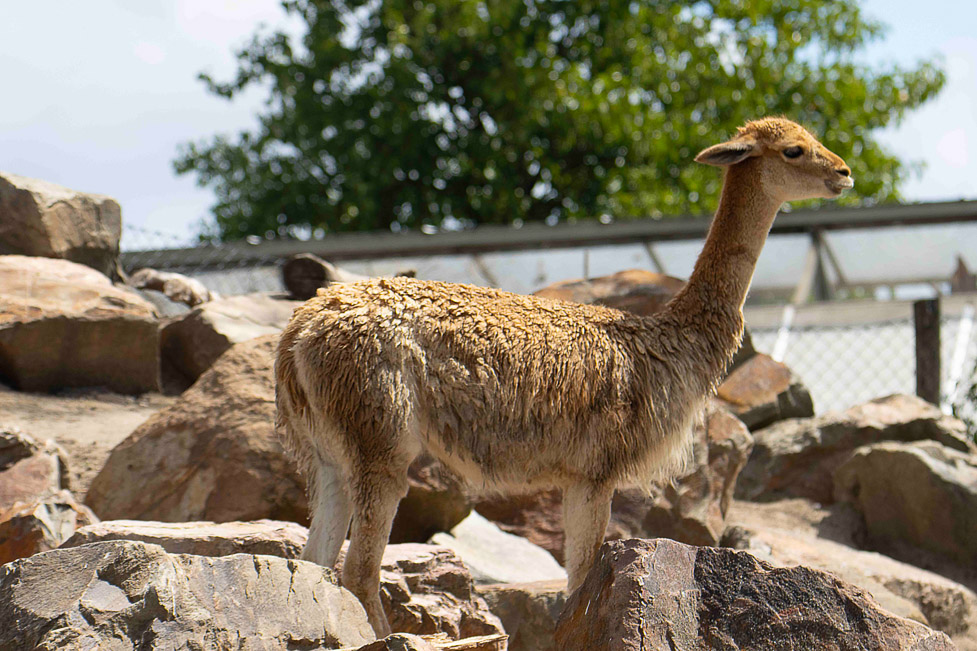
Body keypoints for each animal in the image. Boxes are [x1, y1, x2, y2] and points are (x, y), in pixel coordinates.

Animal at [275, 116, 853, 636]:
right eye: (795, 149)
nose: (845, 173)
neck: (665, 341)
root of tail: (300, 330)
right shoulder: (596, 469)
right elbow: (581, 580)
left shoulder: (577, 475)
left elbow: (580, 583)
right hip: (381, 435)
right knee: (357, 571)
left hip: (328, 452)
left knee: (315, 561)